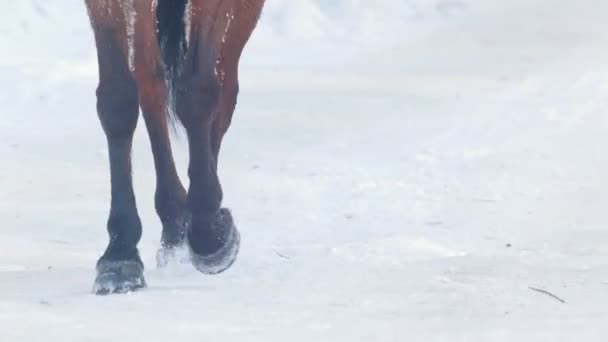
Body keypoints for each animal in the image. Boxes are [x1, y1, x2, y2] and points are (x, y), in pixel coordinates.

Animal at [84, 0, 264, 294]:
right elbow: (118, 101)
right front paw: (120, 255)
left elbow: (197, 94)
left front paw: (208, 232)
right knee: (150, 81)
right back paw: (174, 220)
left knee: (223, 89)